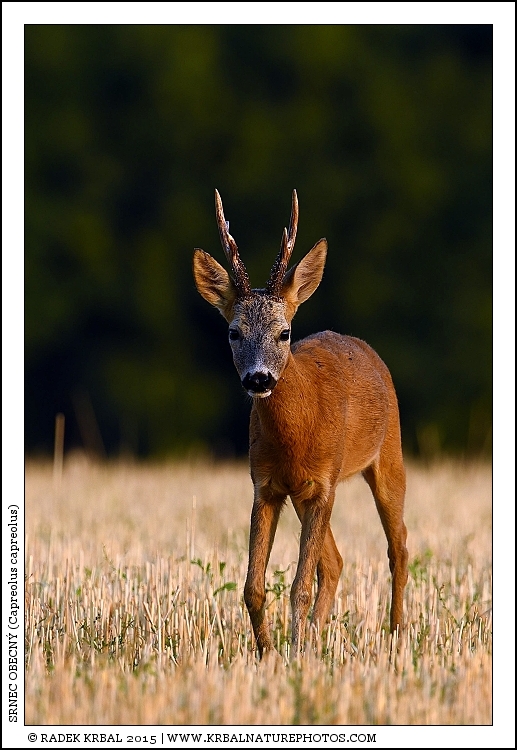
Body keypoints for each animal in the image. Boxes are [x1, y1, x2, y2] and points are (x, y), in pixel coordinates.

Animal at [193, 189, 408, 658]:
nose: (258, 378)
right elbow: (254, 587)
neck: (297, 434)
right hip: (302, 496)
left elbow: (299, 587)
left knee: (398, 546)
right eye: (233, 332)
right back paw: (314, 639)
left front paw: (292, 655)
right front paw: (270, 652)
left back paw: (397, 635)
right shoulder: (267, 486)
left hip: (388, 457)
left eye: (285, 332)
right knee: (336, 562)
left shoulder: (325, 483)